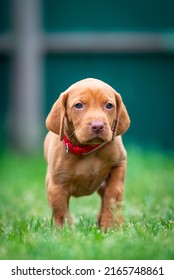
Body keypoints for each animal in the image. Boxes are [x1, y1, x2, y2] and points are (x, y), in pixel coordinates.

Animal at [44, 77, 130, 230]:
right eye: (78, 105)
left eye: (109, 105)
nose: (98, 126)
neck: (88, 149)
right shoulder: (56, 185)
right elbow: (61, 210)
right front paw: (64, 232)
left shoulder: (119, 163)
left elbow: (114, 193)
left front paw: (111, 225)